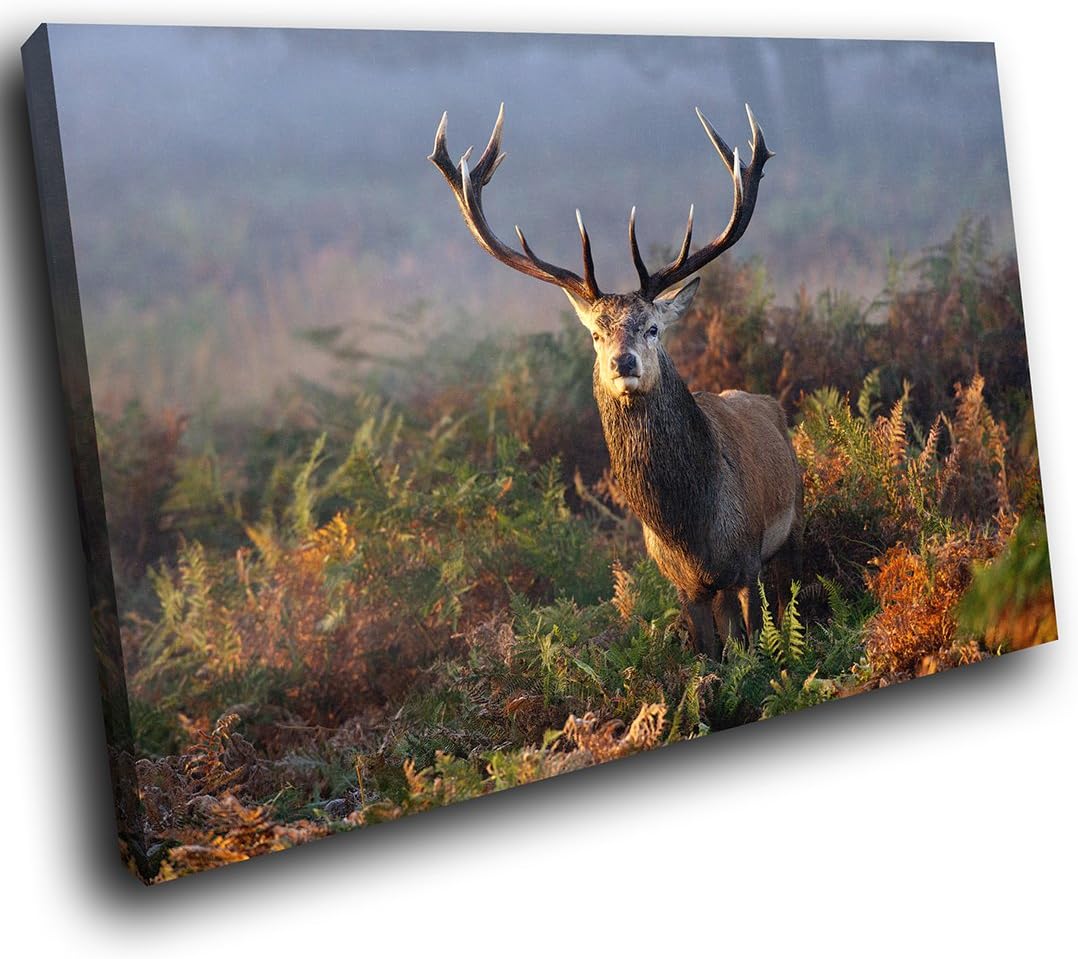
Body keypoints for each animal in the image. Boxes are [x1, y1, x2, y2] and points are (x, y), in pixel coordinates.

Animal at [429, 103, 803, 659]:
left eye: (652, 327)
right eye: (595, 334)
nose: (622, 363)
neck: (692, 531)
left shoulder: (748, 563)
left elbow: (758, 644)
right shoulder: (684, 585)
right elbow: (710, 656)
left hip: (791, 529)